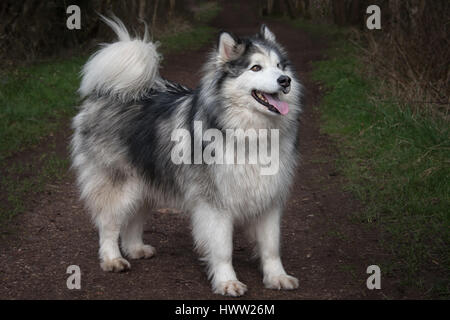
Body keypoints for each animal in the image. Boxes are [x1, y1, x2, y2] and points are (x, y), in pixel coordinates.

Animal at [70, 16, 302, 298]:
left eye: (279, 65)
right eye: (256, 67)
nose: (285, 80)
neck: (250, 133)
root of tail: (112, 91)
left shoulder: (269, 199)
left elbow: (271, 246)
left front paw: (276, 276)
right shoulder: (215, 204)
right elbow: (223, 249)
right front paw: (227, 281)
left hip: (145, 182)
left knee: (134, 219)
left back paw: (135, 248)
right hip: (119, 184)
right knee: (108, 224)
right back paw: (113, 258)